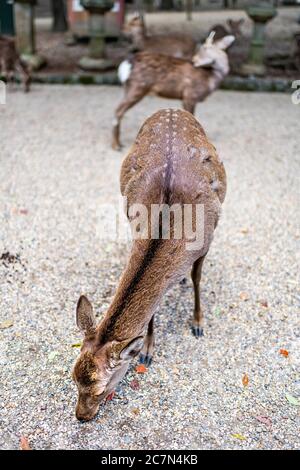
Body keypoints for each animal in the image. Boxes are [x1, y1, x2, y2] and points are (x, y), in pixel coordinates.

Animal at [72, 107, 226, 422]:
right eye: (72, 377)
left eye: (100, 389)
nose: (81, 416)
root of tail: (172, 109)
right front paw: (147, 350)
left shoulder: (207, 242)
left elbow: (197, 279)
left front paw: (198, 323)